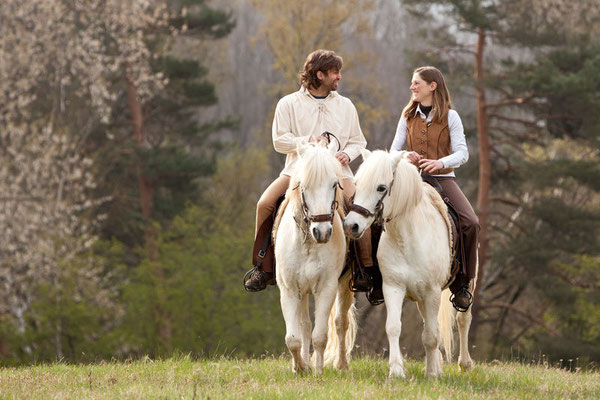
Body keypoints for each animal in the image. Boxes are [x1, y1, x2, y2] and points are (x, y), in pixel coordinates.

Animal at [274, 142, 354, 374]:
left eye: (334, 184)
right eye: (304, 185)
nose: (323, 232)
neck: (309, 241)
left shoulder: (326, 288)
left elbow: (320, 336)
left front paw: (318, 371)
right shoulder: (289, 289)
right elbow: (293, 337)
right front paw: (300, 368)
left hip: (344, 284)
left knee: (340, 323)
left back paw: (341, 365)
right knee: (305, 326)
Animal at [342, 150, 478, 378]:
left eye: (381, 187)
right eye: (357, 184)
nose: (351, 225)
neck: (407, 238)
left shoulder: (432, 291)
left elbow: (431, 335)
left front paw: (431, 374)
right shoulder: (393, 287)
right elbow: (394, 327)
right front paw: (397, 370)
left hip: (466, 287)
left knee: (463, 318)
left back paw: (465, 364)